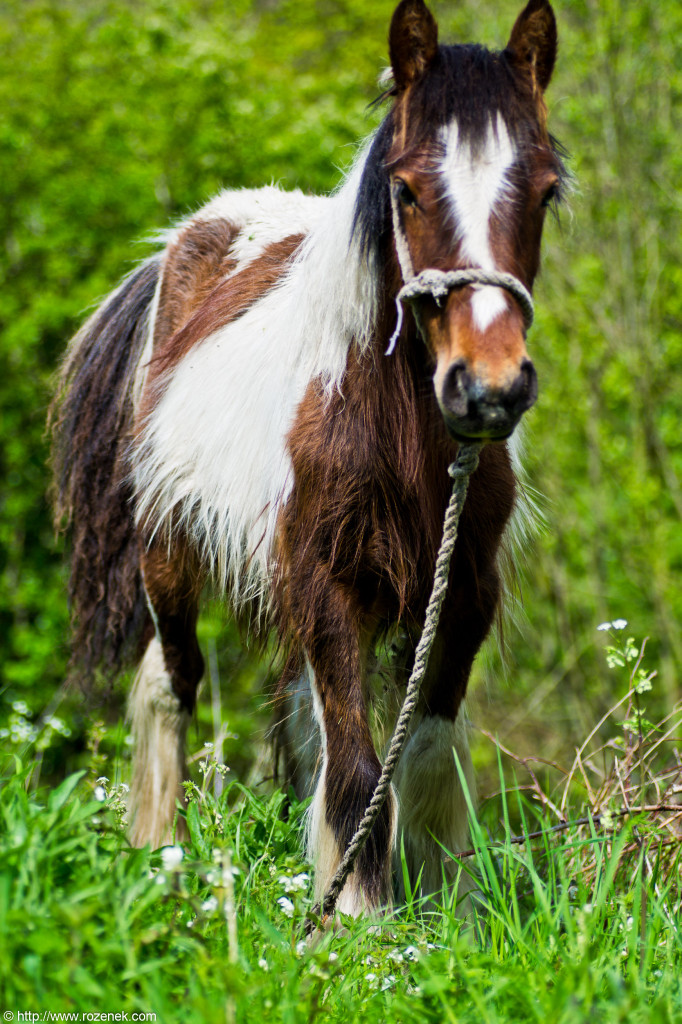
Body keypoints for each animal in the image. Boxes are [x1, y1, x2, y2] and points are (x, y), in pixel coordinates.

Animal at [50, 0, 561, 913]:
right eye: (405, 188)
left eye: (545, 190)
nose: (488, 389)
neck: (392, 430)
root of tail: (186, 241)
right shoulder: (329, 589)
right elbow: (358, 771)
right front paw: (358, 923)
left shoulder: (463, 595)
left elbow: (423, 755)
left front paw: (442, 913)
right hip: (167, 560)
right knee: (172, 685)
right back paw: (160, 856)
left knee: (295, 716)